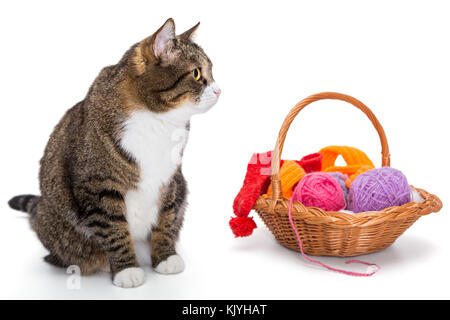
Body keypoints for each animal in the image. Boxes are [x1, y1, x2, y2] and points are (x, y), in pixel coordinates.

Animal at [7, 18, 221, 288]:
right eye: (196, 73)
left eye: (211, 71)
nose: (219, 90)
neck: (157, 120)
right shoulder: (98, 186)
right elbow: (114, 229)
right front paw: (126, 269)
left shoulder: (170, 179)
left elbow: (167, 217)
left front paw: (165, 257)